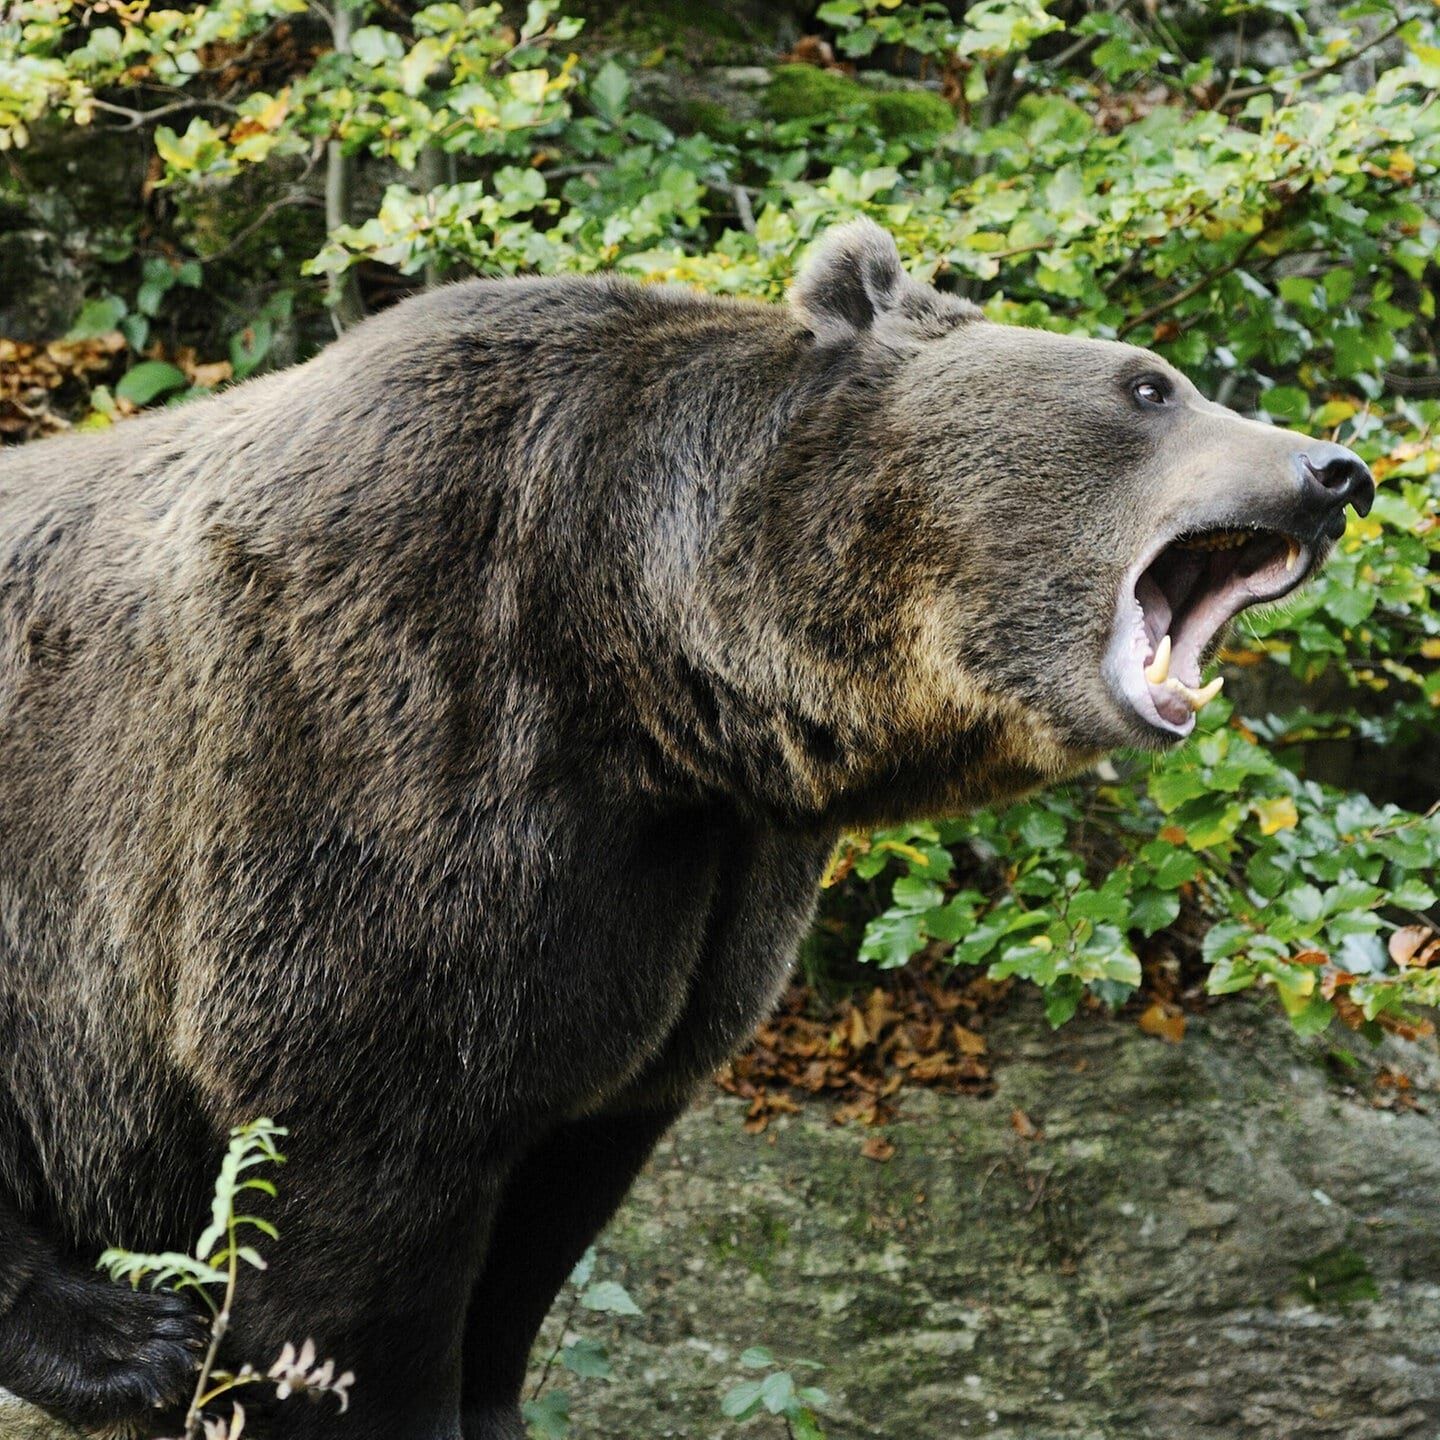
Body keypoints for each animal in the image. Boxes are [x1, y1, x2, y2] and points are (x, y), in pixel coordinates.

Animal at [0, 219, 1373, 1440]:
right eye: (1148, 385)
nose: (1335, 472)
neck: (645, 668)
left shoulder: (694, 894)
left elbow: (564, 1168)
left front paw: (492, 1395)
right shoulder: (383, 747)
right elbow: (355, 1160)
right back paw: (120, 1339)